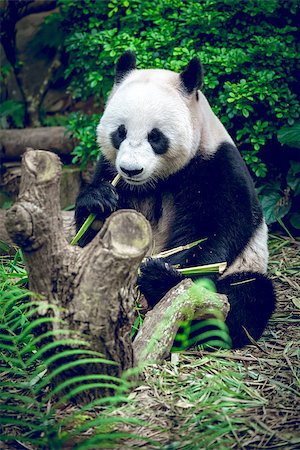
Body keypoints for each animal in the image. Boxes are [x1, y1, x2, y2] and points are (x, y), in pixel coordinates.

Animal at [75, 51, 276, 348]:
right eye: (120, 132)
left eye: (155, 136)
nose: (131, 170)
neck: (157, 180)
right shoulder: (110, 170)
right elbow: (90, 235)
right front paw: (97, 201)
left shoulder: (215, 166)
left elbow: (211, 234)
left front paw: (160, 272)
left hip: (246, 266)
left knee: (247, 297)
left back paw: (169, 292)